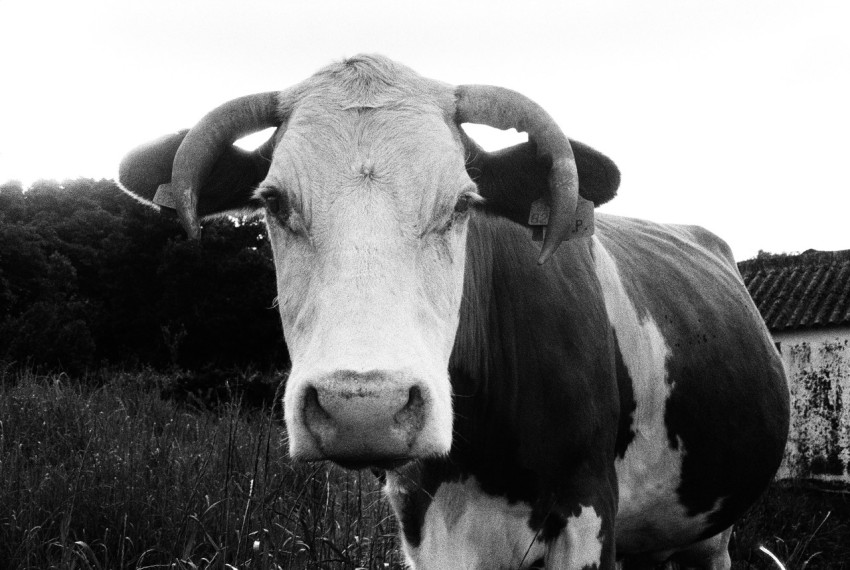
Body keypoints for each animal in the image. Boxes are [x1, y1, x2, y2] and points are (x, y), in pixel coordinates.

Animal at [117, 54, 788, 568]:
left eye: (463, 202)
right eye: (274, 202)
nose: (364, 408)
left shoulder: (588, 508)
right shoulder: (424, 522)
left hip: (709, 534)